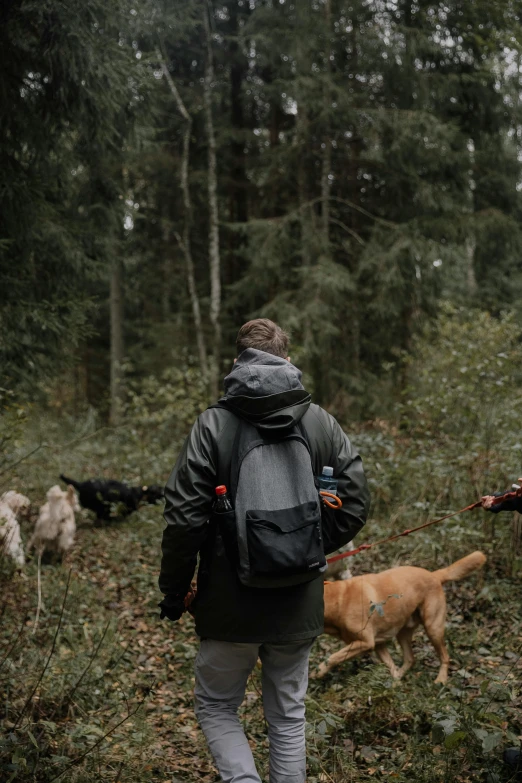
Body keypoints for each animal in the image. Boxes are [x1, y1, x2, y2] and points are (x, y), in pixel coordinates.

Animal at [314, 548, 486, 684]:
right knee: (410, 659)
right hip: (403, 632)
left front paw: (319, 671)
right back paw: (402, 677)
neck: (338, 599)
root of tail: (434, 575)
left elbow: (334, 657)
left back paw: (441, 679)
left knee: (445, 656)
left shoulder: (366, 642)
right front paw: (394, 684)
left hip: (433, 628)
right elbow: (390, 666)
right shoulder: (377, 644)